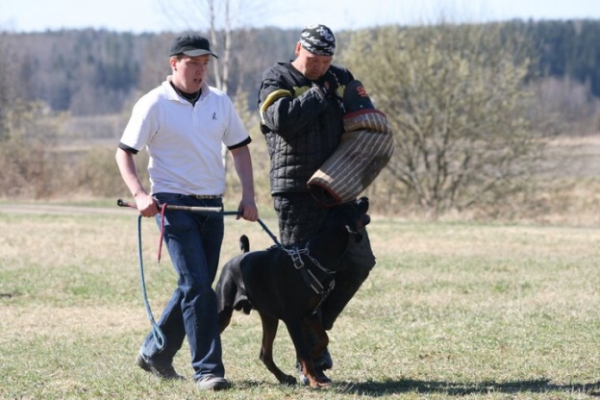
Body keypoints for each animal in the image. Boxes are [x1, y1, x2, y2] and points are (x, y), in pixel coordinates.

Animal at [216, 197, 370, 388]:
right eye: (352, 207)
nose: (365, 198)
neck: (316, 258)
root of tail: (237, 258)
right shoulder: (293, 319)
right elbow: (303, 351)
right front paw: (314, 380)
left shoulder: (311, 314)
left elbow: (323, 338)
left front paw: (314, 355)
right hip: (223, 311)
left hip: (269, 317)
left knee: (265, 354)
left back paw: (284, 377)